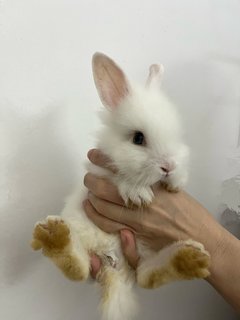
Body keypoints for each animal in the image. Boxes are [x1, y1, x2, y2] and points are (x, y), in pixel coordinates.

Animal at [31, 52, 210, 320]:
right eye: (138, 138)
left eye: (177, 135)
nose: (168, 166)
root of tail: (114, 267)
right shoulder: (101, 169)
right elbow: (120, 177)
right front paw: (138, 194)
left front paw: (176, 182)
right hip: (85, 237)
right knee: (79, 269)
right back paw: (55, 236)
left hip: (143, 252)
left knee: (147, 275)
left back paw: (189, 259)